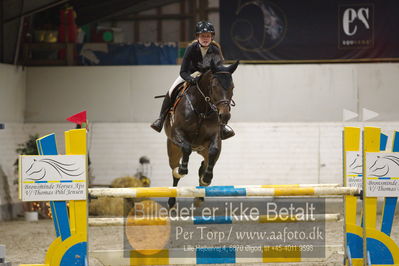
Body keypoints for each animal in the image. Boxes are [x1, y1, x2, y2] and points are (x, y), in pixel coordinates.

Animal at [163, 60, 239, 208]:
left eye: (232, 87)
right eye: (214, 86)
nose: (225, 116)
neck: (202, 107)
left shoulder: (215, 136)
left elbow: (213, 150)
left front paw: (207, 178)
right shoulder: (177, 132)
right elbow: (186, 148)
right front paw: (182, 170)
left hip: (204, 150)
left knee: (205, 163)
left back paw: (200, 195)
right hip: (173, 149)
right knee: (174, 170)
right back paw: (172, 200)